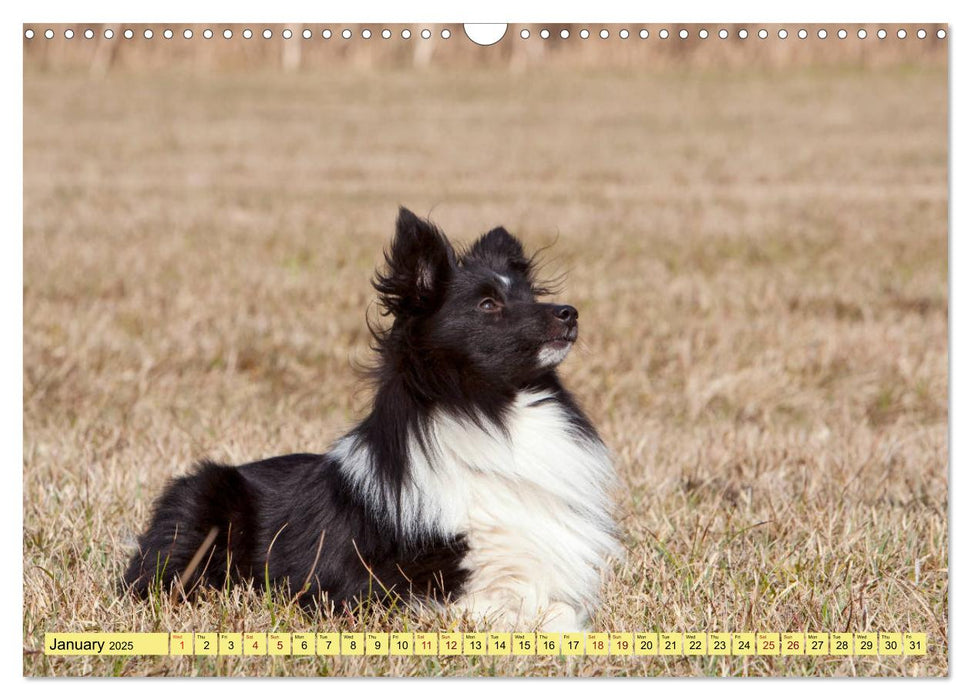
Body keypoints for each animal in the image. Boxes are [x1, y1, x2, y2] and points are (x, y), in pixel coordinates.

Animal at [123, 206, 624, 628]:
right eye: (488, 305)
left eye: (530, 295)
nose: (570, 313)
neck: (491, 409)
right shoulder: (365, 590)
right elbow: (486, 609)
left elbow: (557, 611)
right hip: (201, 503)